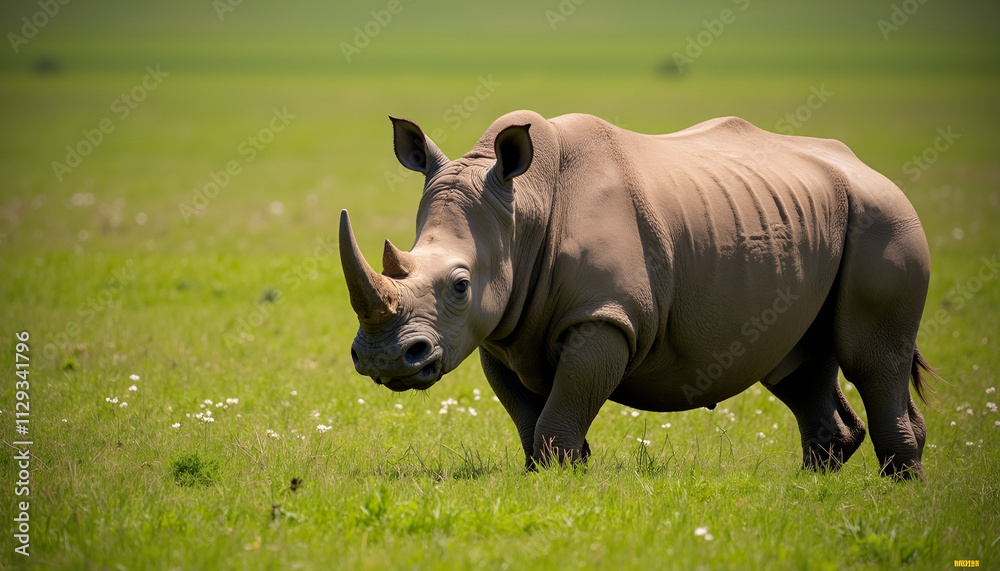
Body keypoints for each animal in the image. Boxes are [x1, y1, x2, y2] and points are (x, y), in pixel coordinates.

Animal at [341, 110, 935, 479]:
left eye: (461, 286)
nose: (384, 361)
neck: (521, 212)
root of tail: (866, 168)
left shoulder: (607, 317)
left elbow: (559, 414)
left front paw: (556, 480)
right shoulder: (501, 333)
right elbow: (529, 419)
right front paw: (554, 476)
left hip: (885, 217)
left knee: (871, 358)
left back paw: (897, 489)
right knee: (797, 364)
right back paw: (815, 487)